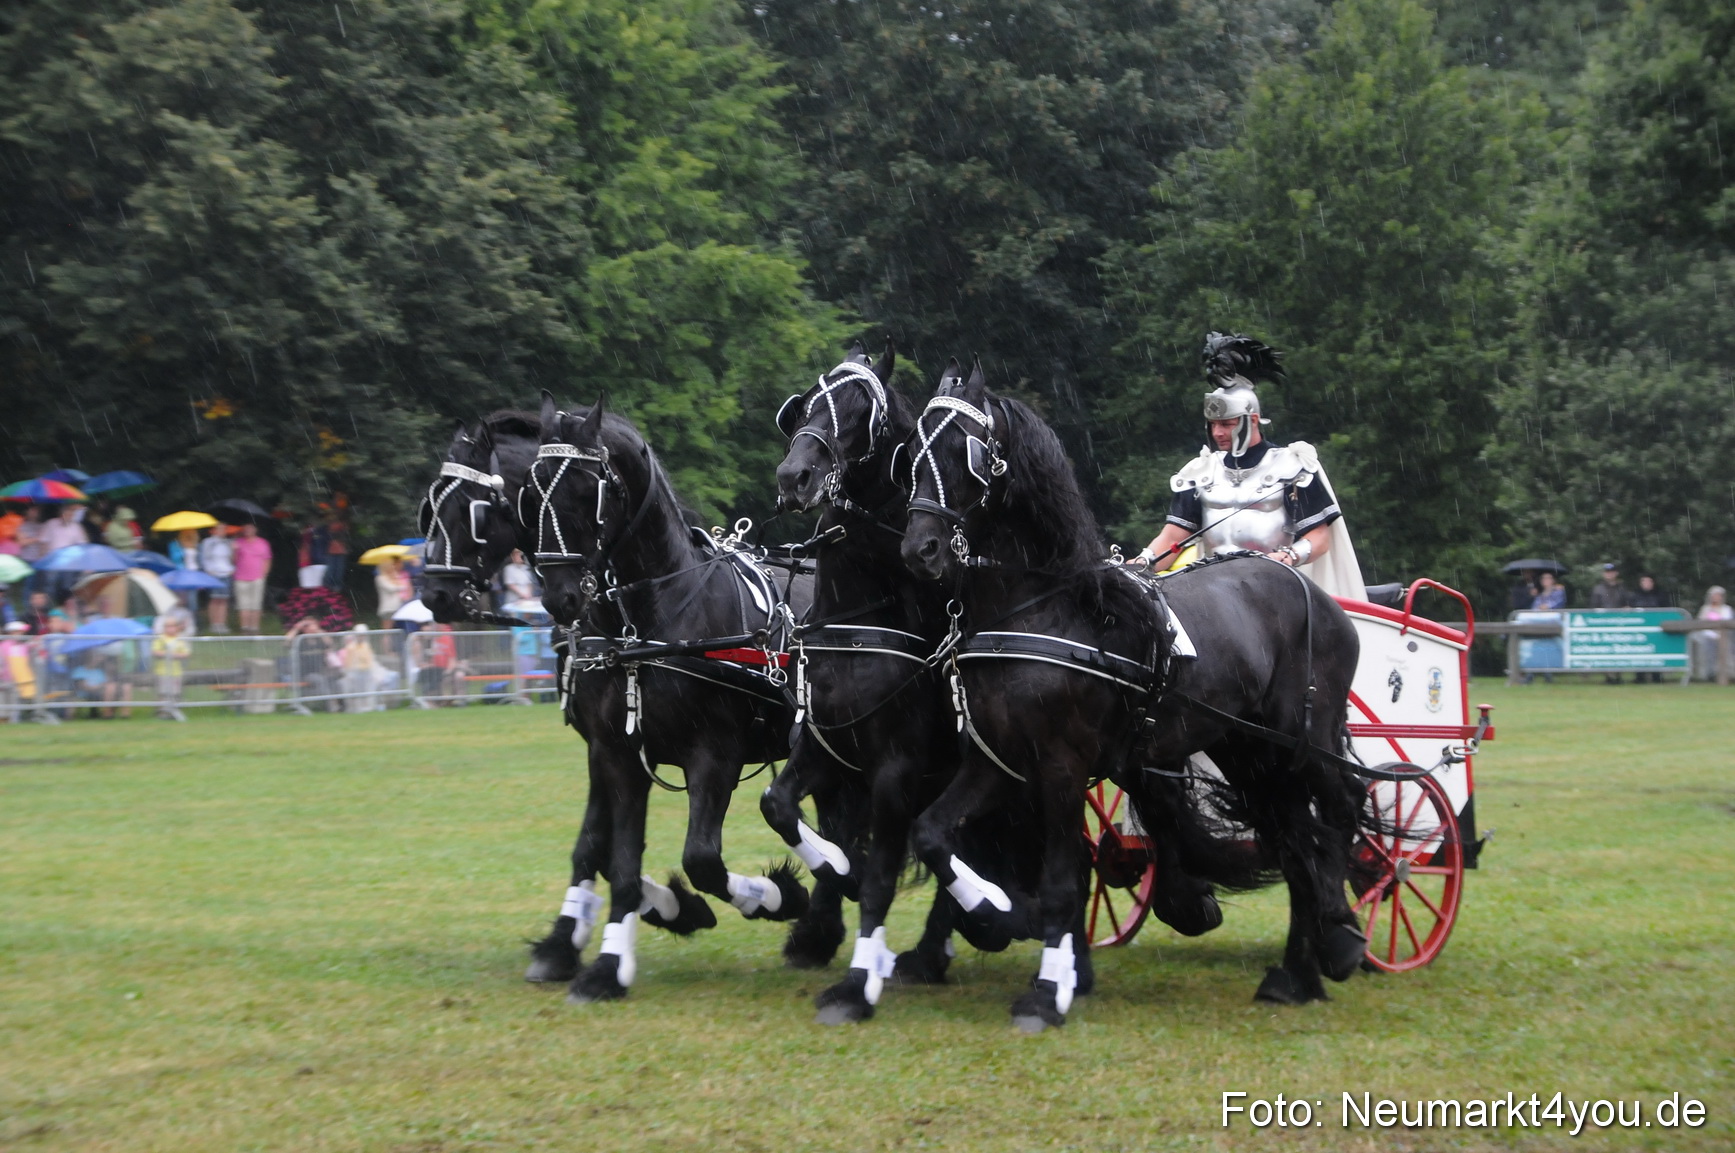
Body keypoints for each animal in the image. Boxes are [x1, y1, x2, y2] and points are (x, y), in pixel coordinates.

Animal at [418, 411, 839, 1001]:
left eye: (475, 509)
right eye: (433, 502)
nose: (434, 593)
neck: (654, 616)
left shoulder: (715, 756)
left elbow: (699, 859)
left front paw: (769, 897)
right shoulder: (609, 750)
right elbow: (601, 851)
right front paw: (583, 942)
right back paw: (820, 932)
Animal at [761, 341, 1007, 1023]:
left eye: (858, 413)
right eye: (804, 407)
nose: (794, 477)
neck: (866, 609)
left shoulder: (897, 769)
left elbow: (883, 872)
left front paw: (857, 979)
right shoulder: (823, 747)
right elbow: (782, 807)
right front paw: (836, 873)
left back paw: (953, 936)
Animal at [899, 359, 1368, 1030]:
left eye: (967, 451)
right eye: (912, 450)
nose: (922, 549)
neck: (1043, 609)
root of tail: (1314, 595)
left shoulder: (1062, 767)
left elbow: (1064, 878)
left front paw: (1046, 988)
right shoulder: (996, 762)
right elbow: (934, 834)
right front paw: (995, 913)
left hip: (1302, 739)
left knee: (1337, 812)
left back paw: (1340, 935)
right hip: (1248, 754)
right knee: (1293, 839)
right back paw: (1296, 973)